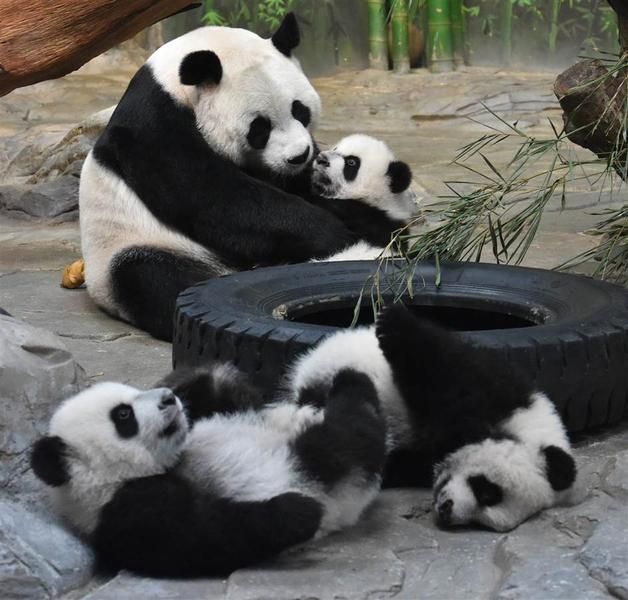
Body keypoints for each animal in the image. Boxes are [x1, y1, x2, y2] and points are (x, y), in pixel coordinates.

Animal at [81, 15, 370, 342]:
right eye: (259, 128)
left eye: (300, 110)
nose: (298, 156)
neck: (176, 81)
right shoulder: (153, 126)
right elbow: (209, 195)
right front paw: (334, 234)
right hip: (129, 248)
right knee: (153, 278)